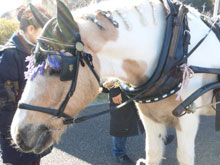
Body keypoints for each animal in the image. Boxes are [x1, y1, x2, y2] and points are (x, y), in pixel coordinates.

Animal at [9, 0, 220, 164]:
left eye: (56, 69)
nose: (18, 135)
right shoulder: (150, 117)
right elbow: (152, 154)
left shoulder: (188, 118)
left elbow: (184, 157)